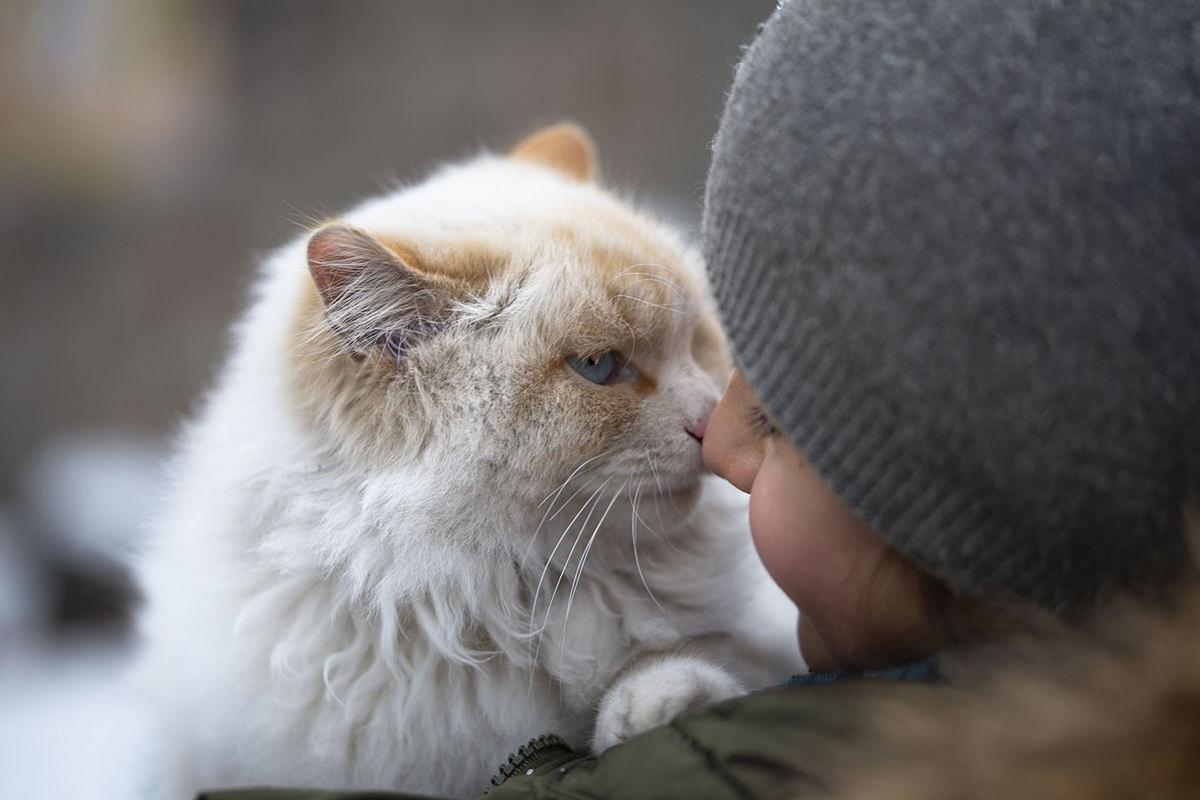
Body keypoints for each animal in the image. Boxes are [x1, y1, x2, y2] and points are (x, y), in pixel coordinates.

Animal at [133, 125, 796, 800]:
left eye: (698, 342)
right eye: (598, 368)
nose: (710, 422)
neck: (492, 599)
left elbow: (669, 675)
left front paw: (661, 705)